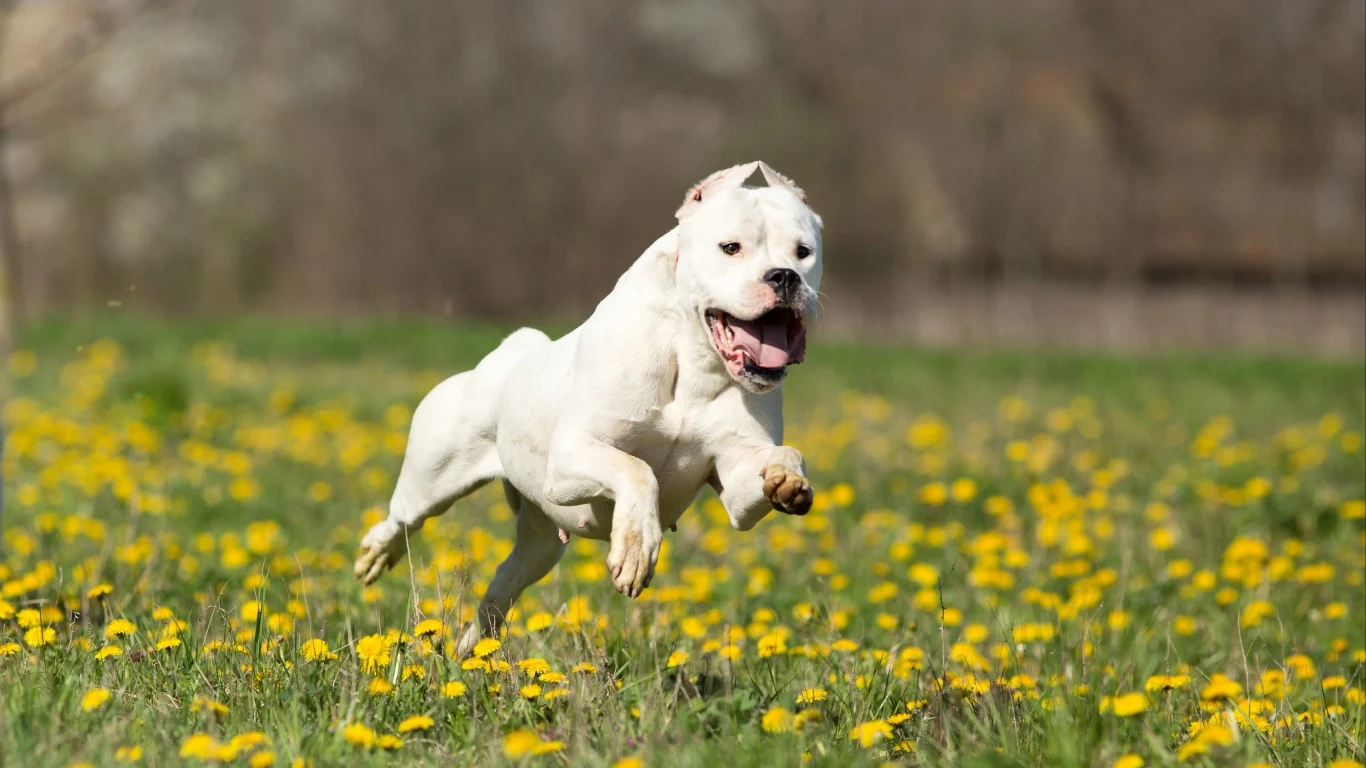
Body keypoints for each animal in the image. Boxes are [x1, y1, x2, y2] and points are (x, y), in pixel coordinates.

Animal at [355, 161, 819, 650]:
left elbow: (777, 462)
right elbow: (638, 470)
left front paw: (787, 480)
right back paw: (376, 555)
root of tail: (508, 352)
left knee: (503, 584)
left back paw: (474, 651)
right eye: (730, 247)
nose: (785, 276)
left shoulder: (736, 485)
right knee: (404, 519)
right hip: (434, 480)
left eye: (803, 252)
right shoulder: (570, 459)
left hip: (540, 544)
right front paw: (636, 549)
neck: (693, 359)